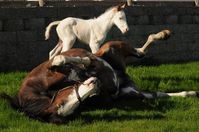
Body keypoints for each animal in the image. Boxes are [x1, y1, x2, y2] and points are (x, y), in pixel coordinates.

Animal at [0, 29, 197, 124]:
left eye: (61, 102)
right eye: (66, 108)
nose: (96, 84)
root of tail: (122, 74)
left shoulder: (55, 67)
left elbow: (64, 59)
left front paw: (80, 64)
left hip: (113, 46)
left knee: (140, 50)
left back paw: (164, 34)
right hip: (133, 90)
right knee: (154, 90)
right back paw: (190, 93)